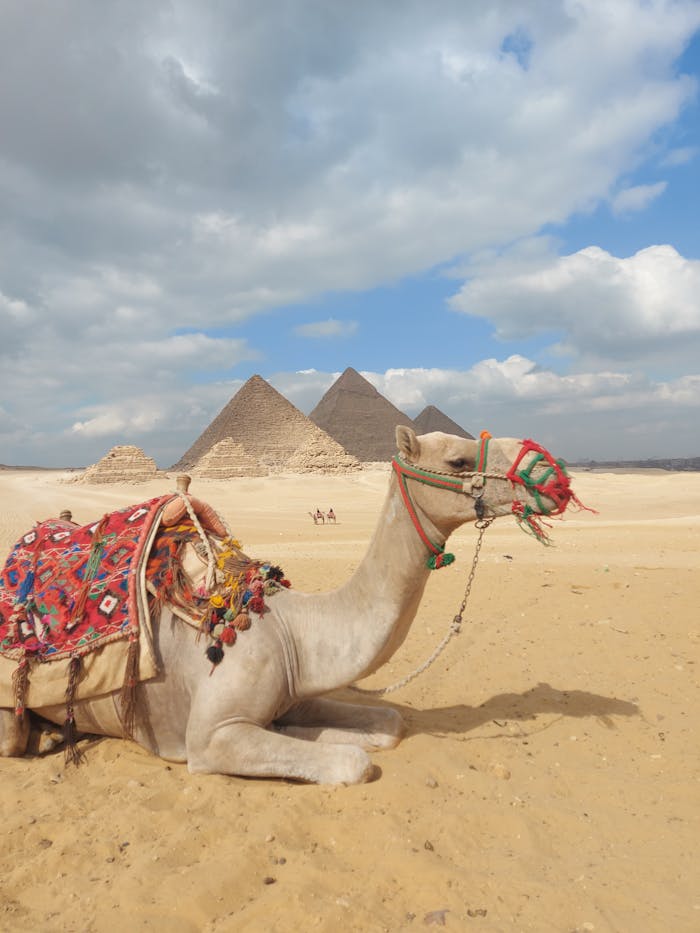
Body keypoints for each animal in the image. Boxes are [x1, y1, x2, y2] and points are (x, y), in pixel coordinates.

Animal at [0, 427, 581, 784]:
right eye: (458, 460)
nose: (553, 476)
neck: (294, 627)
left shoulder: (294, 691)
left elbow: (387, 723)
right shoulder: (211, 738)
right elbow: (352, 762)